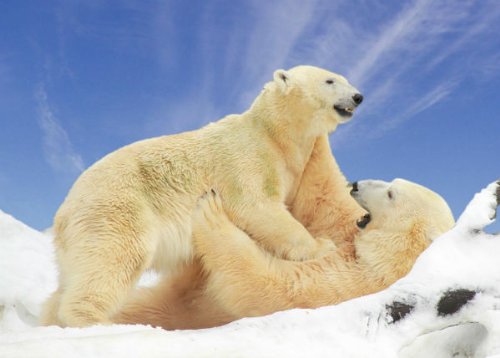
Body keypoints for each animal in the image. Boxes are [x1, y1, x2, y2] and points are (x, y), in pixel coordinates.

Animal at [42, 65, 364, 328]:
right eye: (330, 80)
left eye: (345, 78)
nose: (358, 96)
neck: (274, 132)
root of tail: (62, 214)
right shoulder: (247, 158)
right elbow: (257, 206)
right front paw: (322, 246)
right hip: (117, 209)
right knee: (115, 257)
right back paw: (97, 321)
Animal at [114, 178, 458, 328]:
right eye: (392, 183)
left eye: (390, 194)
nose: (355, 184)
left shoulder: (356, 279)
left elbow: (277, 287)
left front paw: (211, 210)